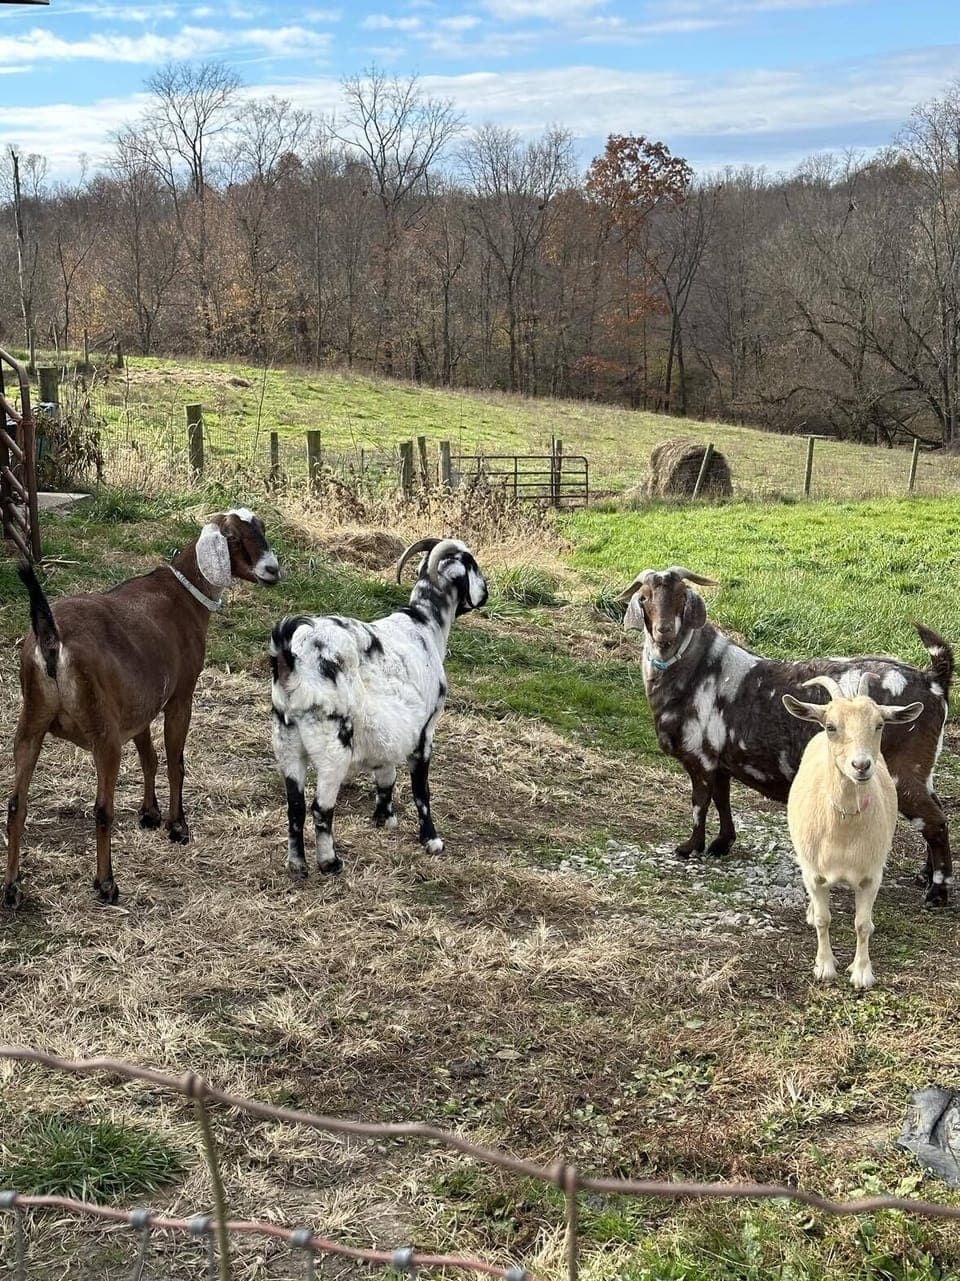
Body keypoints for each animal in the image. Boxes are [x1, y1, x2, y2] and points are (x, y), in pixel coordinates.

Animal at [4, 509, 280, 908]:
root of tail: (51, 639)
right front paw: (176, 825)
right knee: (102, 809)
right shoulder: (180, 695)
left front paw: (150, 813)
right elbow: (175, 761)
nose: (273, 570)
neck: (182, 595)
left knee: (16, 805)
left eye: (261, 528)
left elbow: (149, 756)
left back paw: (12, 887)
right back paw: (106, 883)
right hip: (102, 734)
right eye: (233, 537)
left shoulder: (138, 707)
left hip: (31, 723)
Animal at [270, 537, 488, 877]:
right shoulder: (425, 731)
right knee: (320, 808)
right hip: (332, 747)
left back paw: (297, 865)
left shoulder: (390, 732)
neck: (424, 624)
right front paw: (431, 839)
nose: (486, 592)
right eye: (471, 563)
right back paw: (330, 863)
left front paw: (384, 819)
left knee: (295, 807)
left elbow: (386, 775)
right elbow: (421, 789)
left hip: (287, 743)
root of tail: (294, 662)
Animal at [619, 566, 953, 905]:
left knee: (936, 821)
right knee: (936, 808)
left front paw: (690, 848)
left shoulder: (699, 756)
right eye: (644, 598)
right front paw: (722, 844)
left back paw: (937, 892)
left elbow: (699, 802)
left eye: (681, 597)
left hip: (901, 771)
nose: (663, 631)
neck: (697, 669)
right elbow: (722, 799)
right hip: (922, 769)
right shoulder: (720, 760)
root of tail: (933, 680)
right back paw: (925, 876)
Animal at [783, 674, 923, 989]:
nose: (861, 765)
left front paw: (861, 973)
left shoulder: (871, 875)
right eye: (831, 726)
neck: (843, 828)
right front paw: (825, 966)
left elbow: (862, 924)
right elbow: (824, 920)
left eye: (879, 724)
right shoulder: (814, 873)